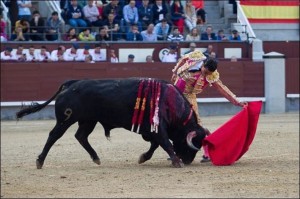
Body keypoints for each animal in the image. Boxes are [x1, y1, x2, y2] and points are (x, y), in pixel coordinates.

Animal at [15, 77, 206, 168]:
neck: (169, 101)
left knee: (81, 136)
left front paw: (143, 158)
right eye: (191, 145)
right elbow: (165, 143)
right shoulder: (157, 129)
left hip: (88, 121)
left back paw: (96, 158)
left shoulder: (150, 131)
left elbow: (155, 145)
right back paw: (40, 161)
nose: (188, 161)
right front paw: (176, 162)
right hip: (66, 119)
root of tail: (71, 84)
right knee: (54, 135)